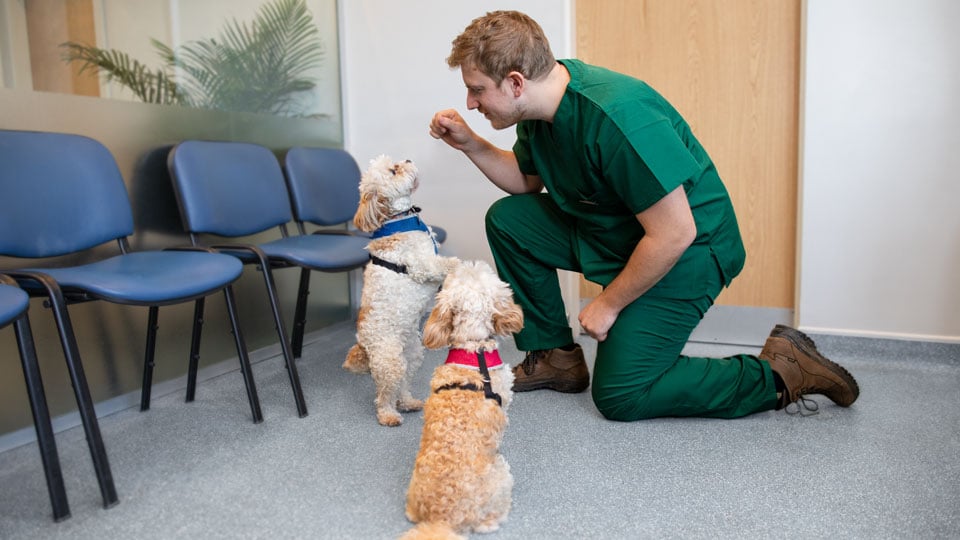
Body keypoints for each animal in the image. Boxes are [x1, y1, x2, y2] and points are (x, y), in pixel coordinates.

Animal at [344, 155, 460, 426]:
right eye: (393, 170)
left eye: (395, 162)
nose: (407, 159)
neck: (402, 220)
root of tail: (363, 345)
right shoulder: (423, 265)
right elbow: (448, 264)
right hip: (390, 361)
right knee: (384, 394)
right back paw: (388, 415)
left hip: (413, 355)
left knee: (402, 387)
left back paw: (408, 403)